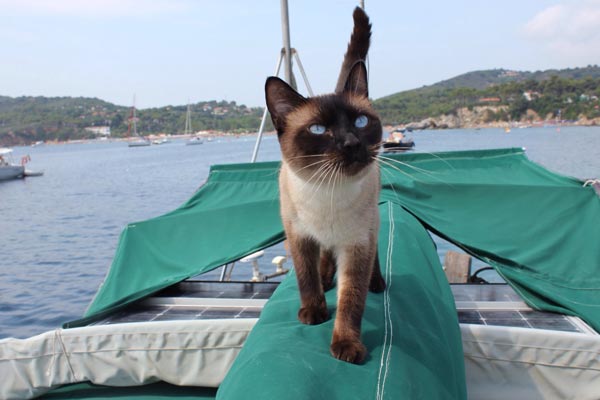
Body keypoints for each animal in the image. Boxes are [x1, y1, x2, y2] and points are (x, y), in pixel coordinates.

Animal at [266, 7, 386, 364]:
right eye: (319, 129)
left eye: (360, 122)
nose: (351, 143)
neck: (327, 192)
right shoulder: (299, 236)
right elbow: (306, 278)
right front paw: (314, 313)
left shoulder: (357, 246)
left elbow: (352, 300)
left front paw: (347, 347)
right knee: (322, 262)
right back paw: (326, 280)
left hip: (372, 225)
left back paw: (377, 283)